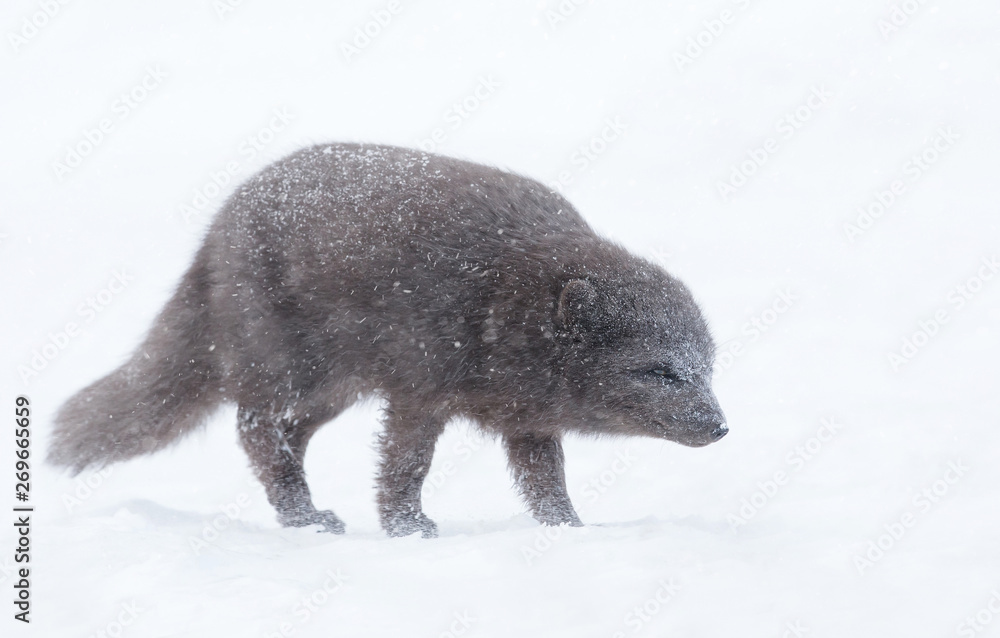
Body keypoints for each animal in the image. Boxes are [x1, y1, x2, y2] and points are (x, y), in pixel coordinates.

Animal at [49, 142, 727, 537]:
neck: (502, 295)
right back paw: (304, 517)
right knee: (253, 429)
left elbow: (546, 482)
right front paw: (405, 528)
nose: (721, 428)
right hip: (291, 370)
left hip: (334, 392)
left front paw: (569, 532)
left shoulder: (528, 421)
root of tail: (217, 228)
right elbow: (407, 464)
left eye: (706, 369)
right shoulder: (418, 393)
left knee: (286, 435)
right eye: (658, 371)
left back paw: (302, 511)